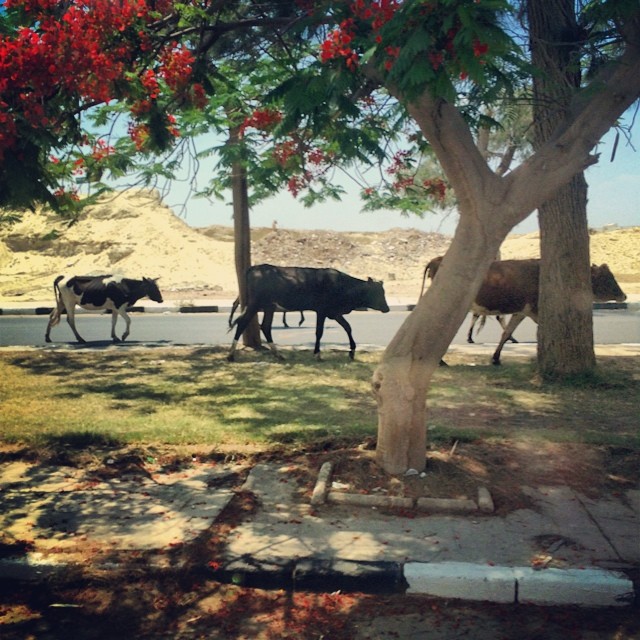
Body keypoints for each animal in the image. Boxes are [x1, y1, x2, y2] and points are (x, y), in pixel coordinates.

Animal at [230, 264, 390, 362]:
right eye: (376, 292)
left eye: (383, 291)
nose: (387, 308)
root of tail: (255, 268)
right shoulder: (322, 311)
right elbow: (319, 332)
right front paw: (317, 354)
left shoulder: (334, 312)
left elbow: (348, 327)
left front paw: (352, 352)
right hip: (255, 304)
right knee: (243, 323)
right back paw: (231, 355)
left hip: (269, 307)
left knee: (265, 326)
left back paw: (278, 355)